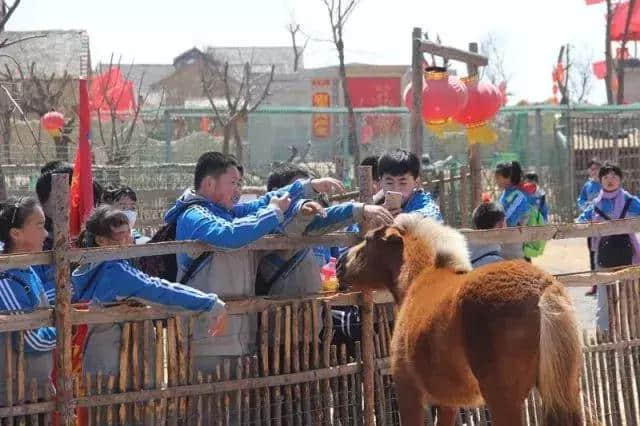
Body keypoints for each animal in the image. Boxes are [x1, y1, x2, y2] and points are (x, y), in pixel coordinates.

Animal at [338, 215, 592, 426]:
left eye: (368, 241)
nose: (340, 263)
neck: (418, 278)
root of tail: (543, 288)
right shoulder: (449, 402)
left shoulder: (409, 392)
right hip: (565, 392)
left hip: (504, 400)